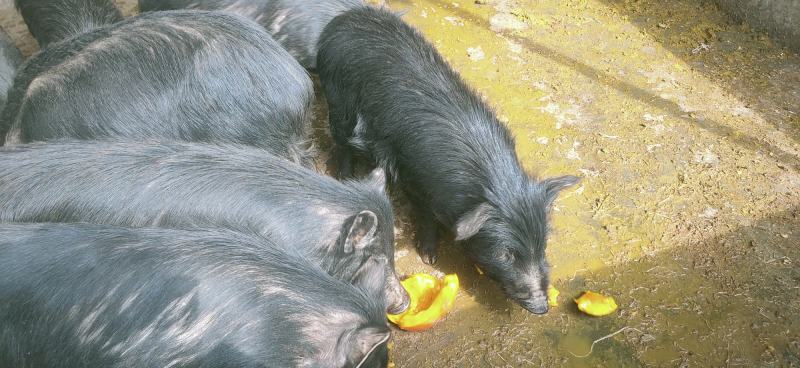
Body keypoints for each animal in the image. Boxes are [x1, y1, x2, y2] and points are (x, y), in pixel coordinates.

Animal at [316, 6, 580, 314]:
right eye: (506, 253)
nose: (541, 307)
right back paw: (345, 176)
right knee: (341, 142)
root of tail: (343, 19)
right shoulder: (414, 178)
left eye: (543, 244)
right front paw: (429, 257)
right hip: (338, 101)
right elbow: (426, 215)